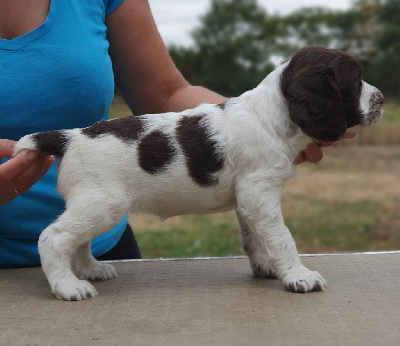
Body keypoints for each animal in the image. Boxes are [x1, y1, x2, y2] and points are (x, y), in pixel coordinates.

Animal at [14, 45, 384, 300]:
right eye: (354, 80)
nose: (381, 98)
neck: (272, 116)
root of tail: (71, 136)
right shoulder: (260, 192)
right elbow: (282, 237)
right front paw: (298, 276)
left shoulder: (249, 198)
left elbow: (255, 238)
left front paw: (267, 268)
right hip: (103, 204)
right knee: (53, 237)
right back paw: (68, 286)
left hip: (93, 205)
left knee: (77, 239)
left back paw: (91, 270)